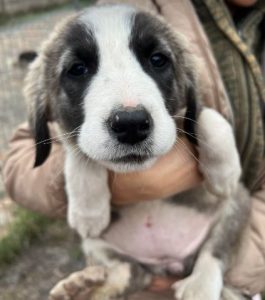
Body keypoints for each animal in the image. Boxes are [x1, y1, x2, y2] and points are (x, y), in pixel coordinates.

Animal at [24, 4, 250, 300]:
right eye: (78, 69)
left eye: (157, 60)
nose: (130, 124)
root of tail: (169, 262)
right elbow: (80, 152)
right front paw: (88, 210)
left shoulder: (191, 116)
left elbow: (206, 115)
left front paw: (224, 174)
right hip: (96, 246)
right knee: (131, 273)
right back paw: (86, 285)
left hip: (234, 211)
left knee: (213, 254)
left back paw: (199, 286)